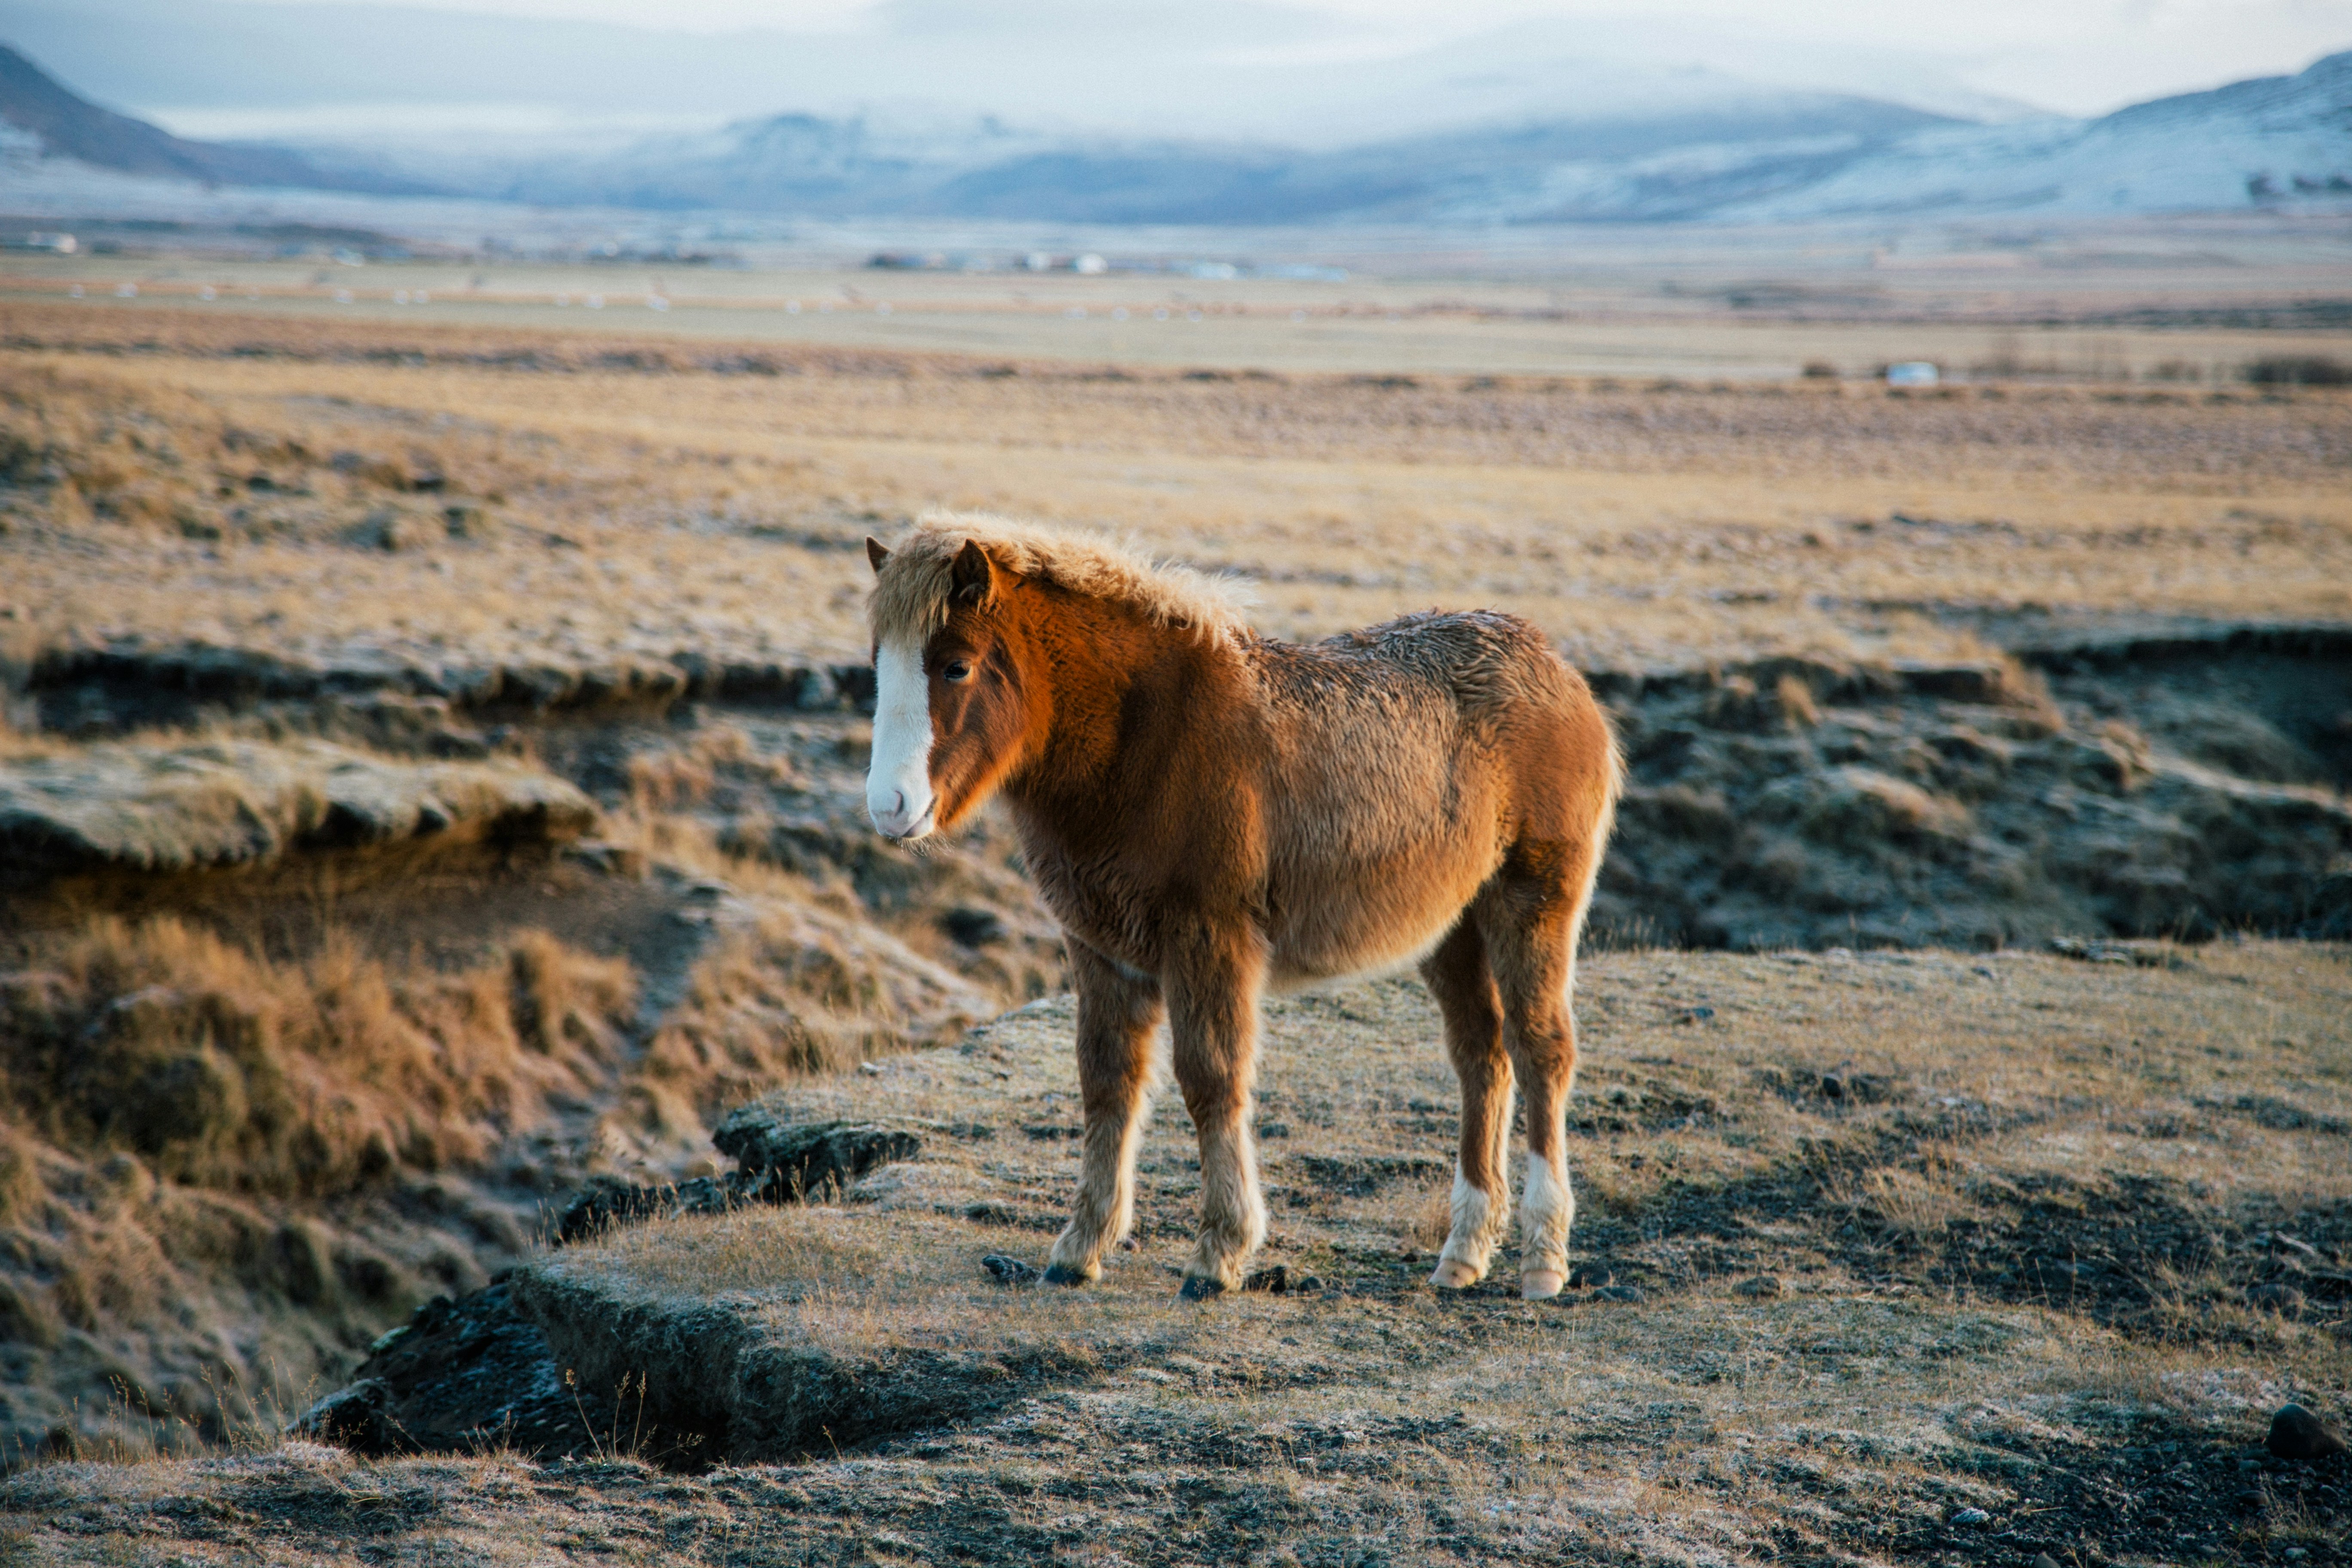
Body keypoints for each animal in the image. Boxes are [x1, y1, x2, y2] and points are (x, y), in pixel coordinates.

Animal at [862, 514, 1622, 1300]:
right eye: (880, 664)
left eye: (955, 666)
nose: (889, 808)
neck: (1139, 736)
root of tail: (1559, 672)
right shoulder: (1099, 947)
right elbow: (1106, 1083)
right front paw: (1080, 1247)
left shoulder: (1208, 937)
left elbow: (1211, 1079)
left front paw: (1219, 1253)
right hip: (1452, 929)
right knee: (1481, 1055)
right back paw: (1464, 1253)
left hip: (1532, 905)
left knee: (1540, 1050)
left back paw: (1542, 1258)